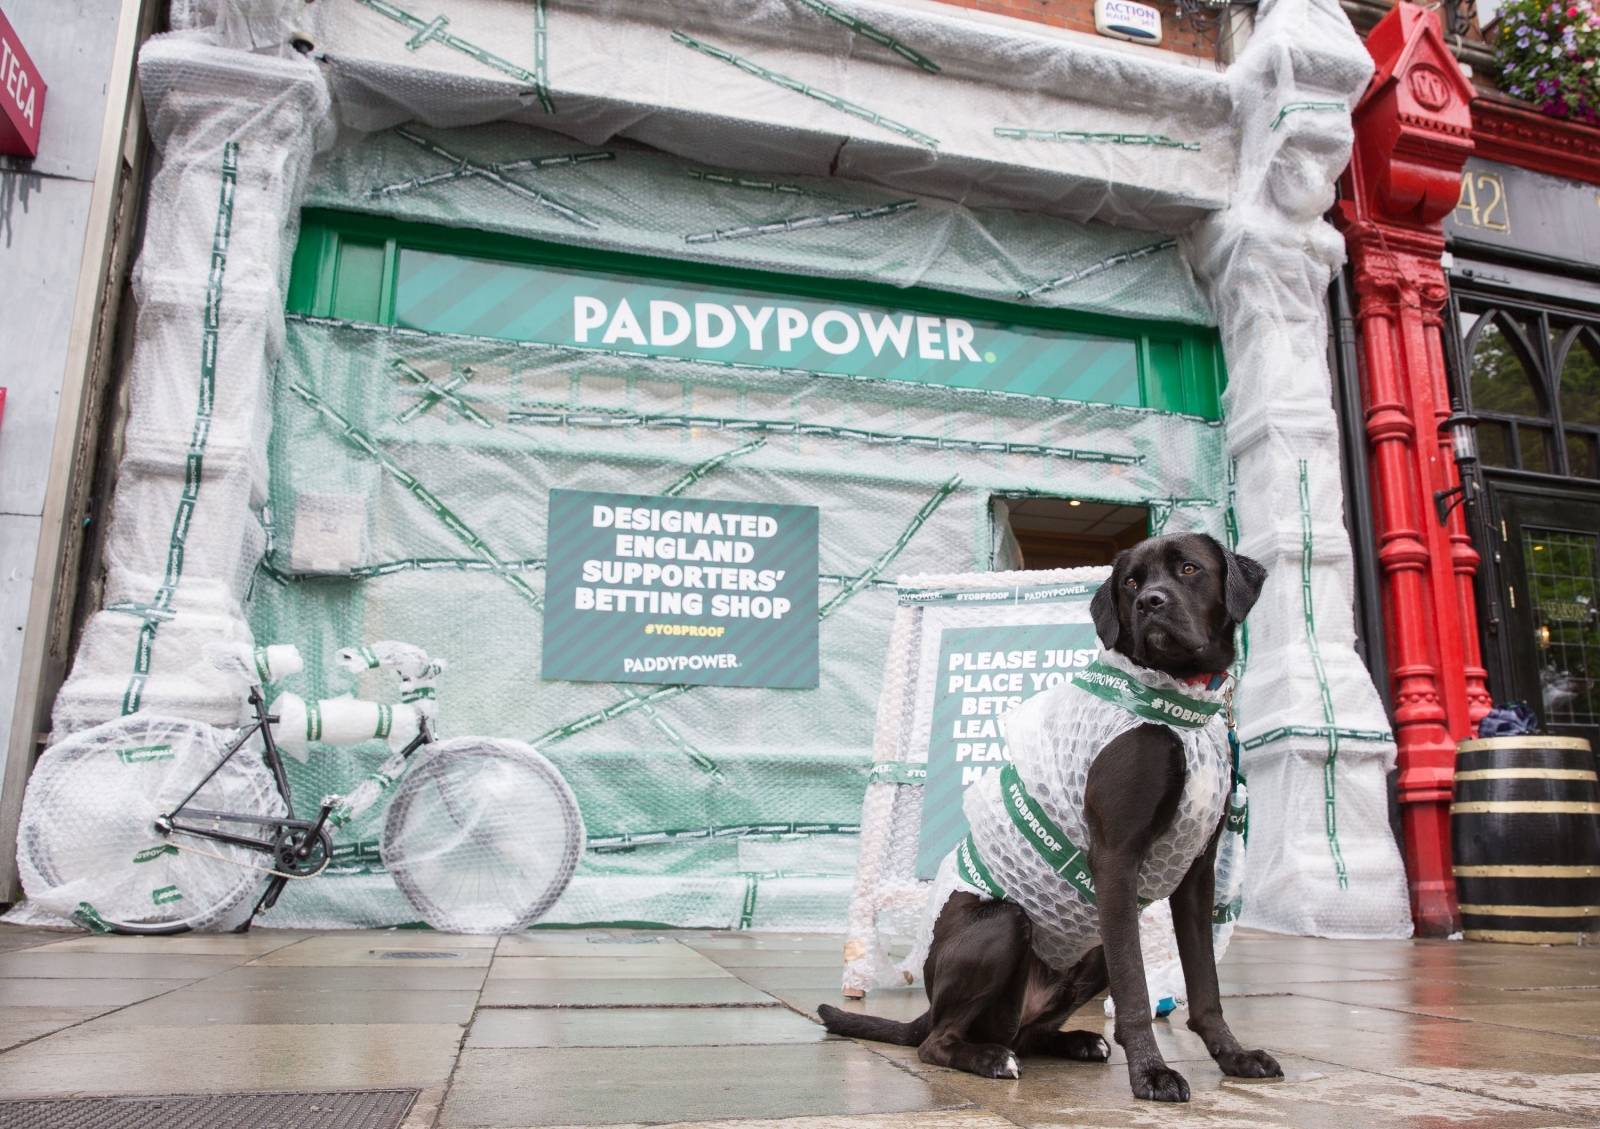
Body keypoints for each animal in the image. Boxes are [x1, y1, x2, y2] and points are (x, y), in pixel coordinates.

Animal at [819, 530, 1280, 1100]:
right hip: (1005, 922)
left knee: (1026, 1033)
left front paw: (1234, 1056)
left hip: (1090, 948)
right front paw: (1151, 1072)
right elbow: (1135, 989)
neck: (1180, 705)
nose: (1151, 603)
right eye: (1131, 583)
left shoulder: (1197, 871)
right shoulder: (1116, 860)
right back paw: (989, 1058)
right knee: (939, 1042)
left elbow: (1205, 985)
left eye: (1190, 569)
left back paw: (1076, 1041)